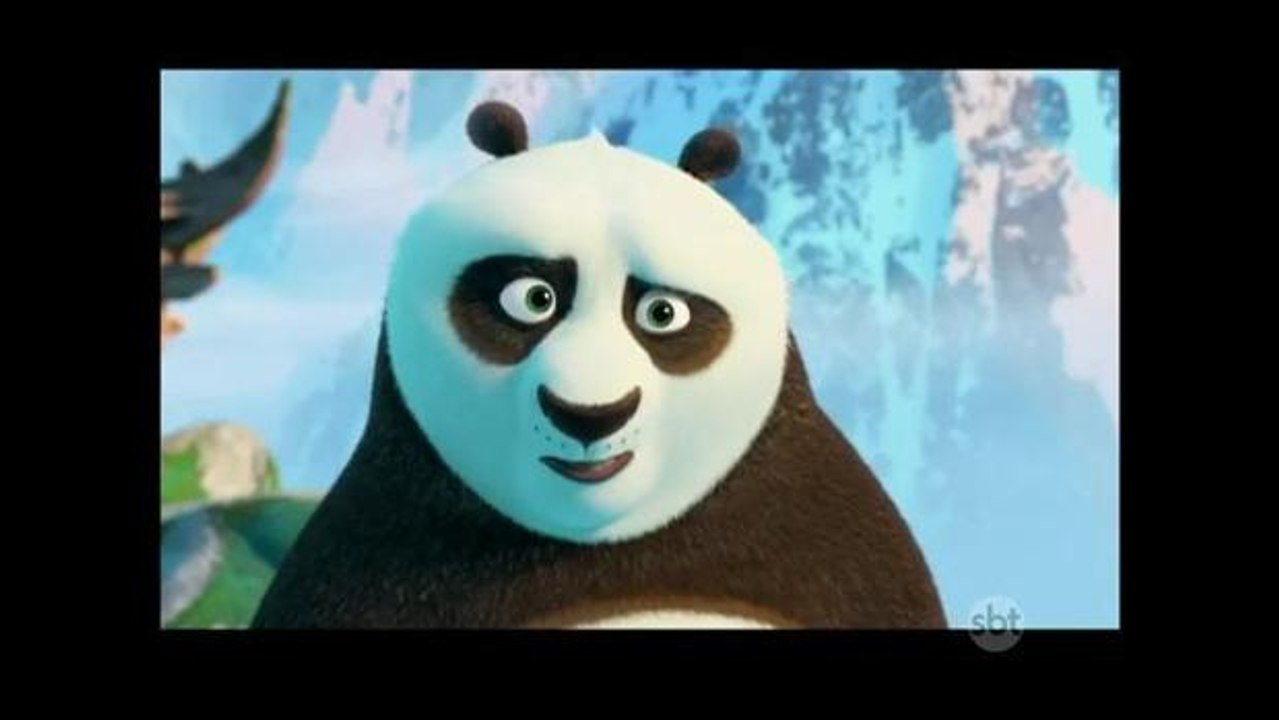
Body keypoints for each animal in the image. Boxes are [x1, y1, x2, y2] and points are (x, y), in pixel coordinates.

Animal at [252, 101, 945, 629]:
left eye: (662, 313)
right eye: (532, 299)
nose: (590, 415)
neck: (604, 541)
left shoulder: (847, 548)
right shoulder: (364, 560)